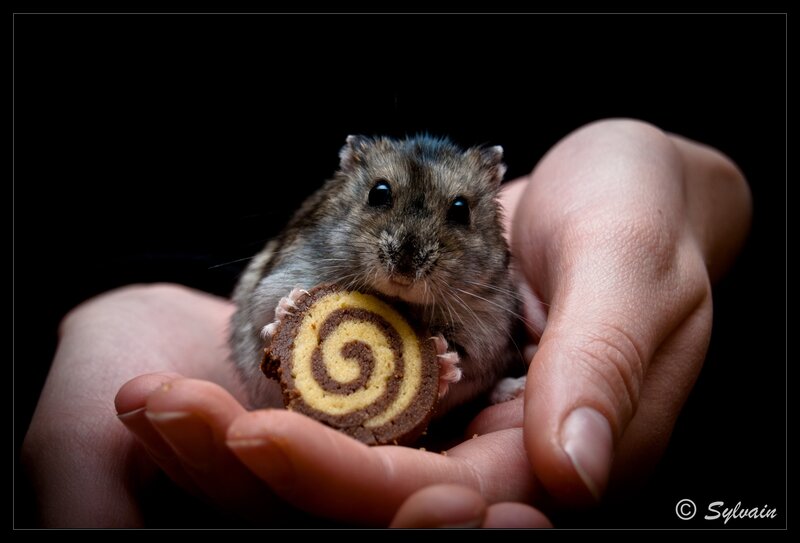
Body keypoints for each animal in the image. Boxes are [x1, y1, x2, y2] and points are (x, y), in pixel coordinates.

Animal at [229, 135, 525, 414]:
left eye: (461, 209)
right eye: (378, 193)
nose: (404, 271)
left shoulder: (489, 326)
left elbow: (466, 361)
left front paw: (443, 361)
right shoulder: (272, 284)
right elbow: (267, 319)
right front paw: (290, 306)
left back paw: (513, 389)